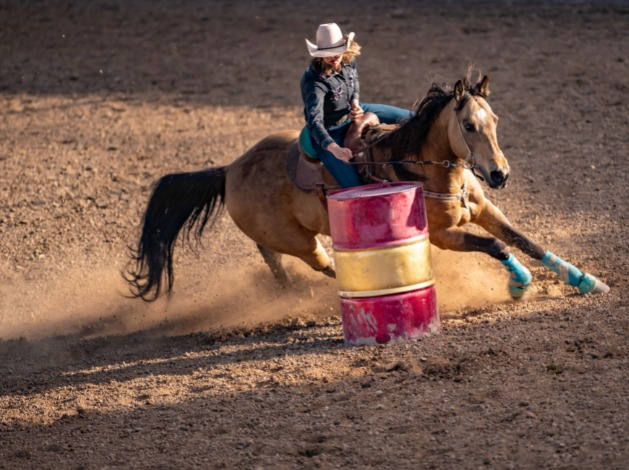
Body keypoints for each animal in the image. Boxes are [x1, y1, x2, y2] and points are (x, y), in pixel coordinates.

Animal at [124, 73, 608, 302]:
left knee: (272, 256)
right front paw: (519, 285)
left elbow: (524, 240)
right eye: (468, 125)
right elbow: (497, 247)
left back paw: (289, 289)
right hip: (301, 241)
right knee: (319, 262)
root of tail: (229, 169)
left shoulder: (486, 209)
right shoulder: (443, 236)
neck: (427, 168)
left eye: (495, 120)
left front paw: (588, 281)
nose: (499, 175)